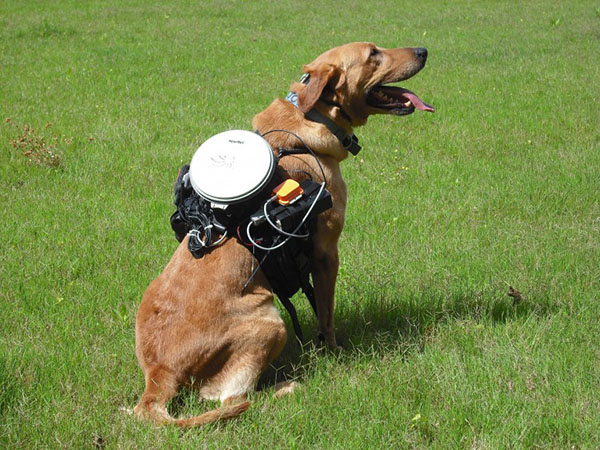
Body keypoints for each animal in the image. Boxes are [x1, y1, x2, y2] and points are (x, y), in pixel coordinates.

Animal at [134, 42, 434, 426]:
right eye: (373, 54)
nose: (423, 50)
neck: (314, 120)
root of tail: (158, 376)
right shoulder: (326, 253)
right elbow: (326, 316)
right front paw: (333, 351)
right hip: (269, 321)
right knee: (232, 399)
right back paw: (286, 389)